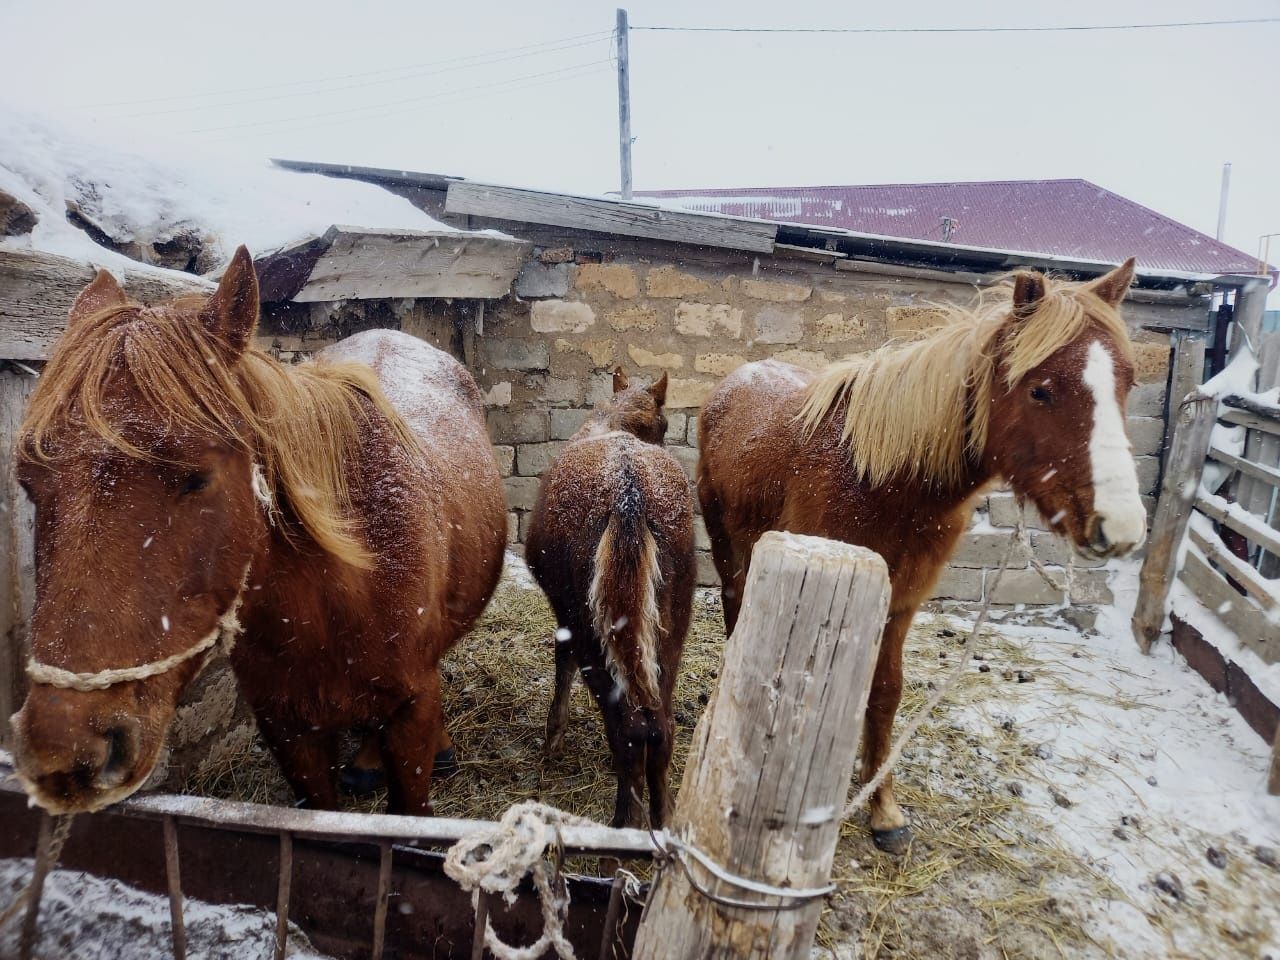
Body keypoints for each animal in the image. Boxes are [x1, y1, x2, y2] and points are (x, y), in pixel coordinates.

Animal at [524, 368, 696, 829]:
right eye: (665, 425)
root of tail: (627, 492)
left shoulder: (565, 615)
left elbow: (561, 662)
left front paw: (553, 738)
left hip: (593, 631)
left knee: (628, 728)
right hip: (669, 628)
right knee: (661, 725)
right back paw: (663, 817)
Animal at [701, 259, 1152, 855]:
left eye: (1127, 383)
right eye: (1041, 391)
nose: (1121, 527)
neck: (884, 479)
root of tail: (738, 380)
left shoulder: (900, 604)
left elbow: (885, 693)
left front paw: (884, 809)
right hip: (726, 544)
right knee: (735, 605)